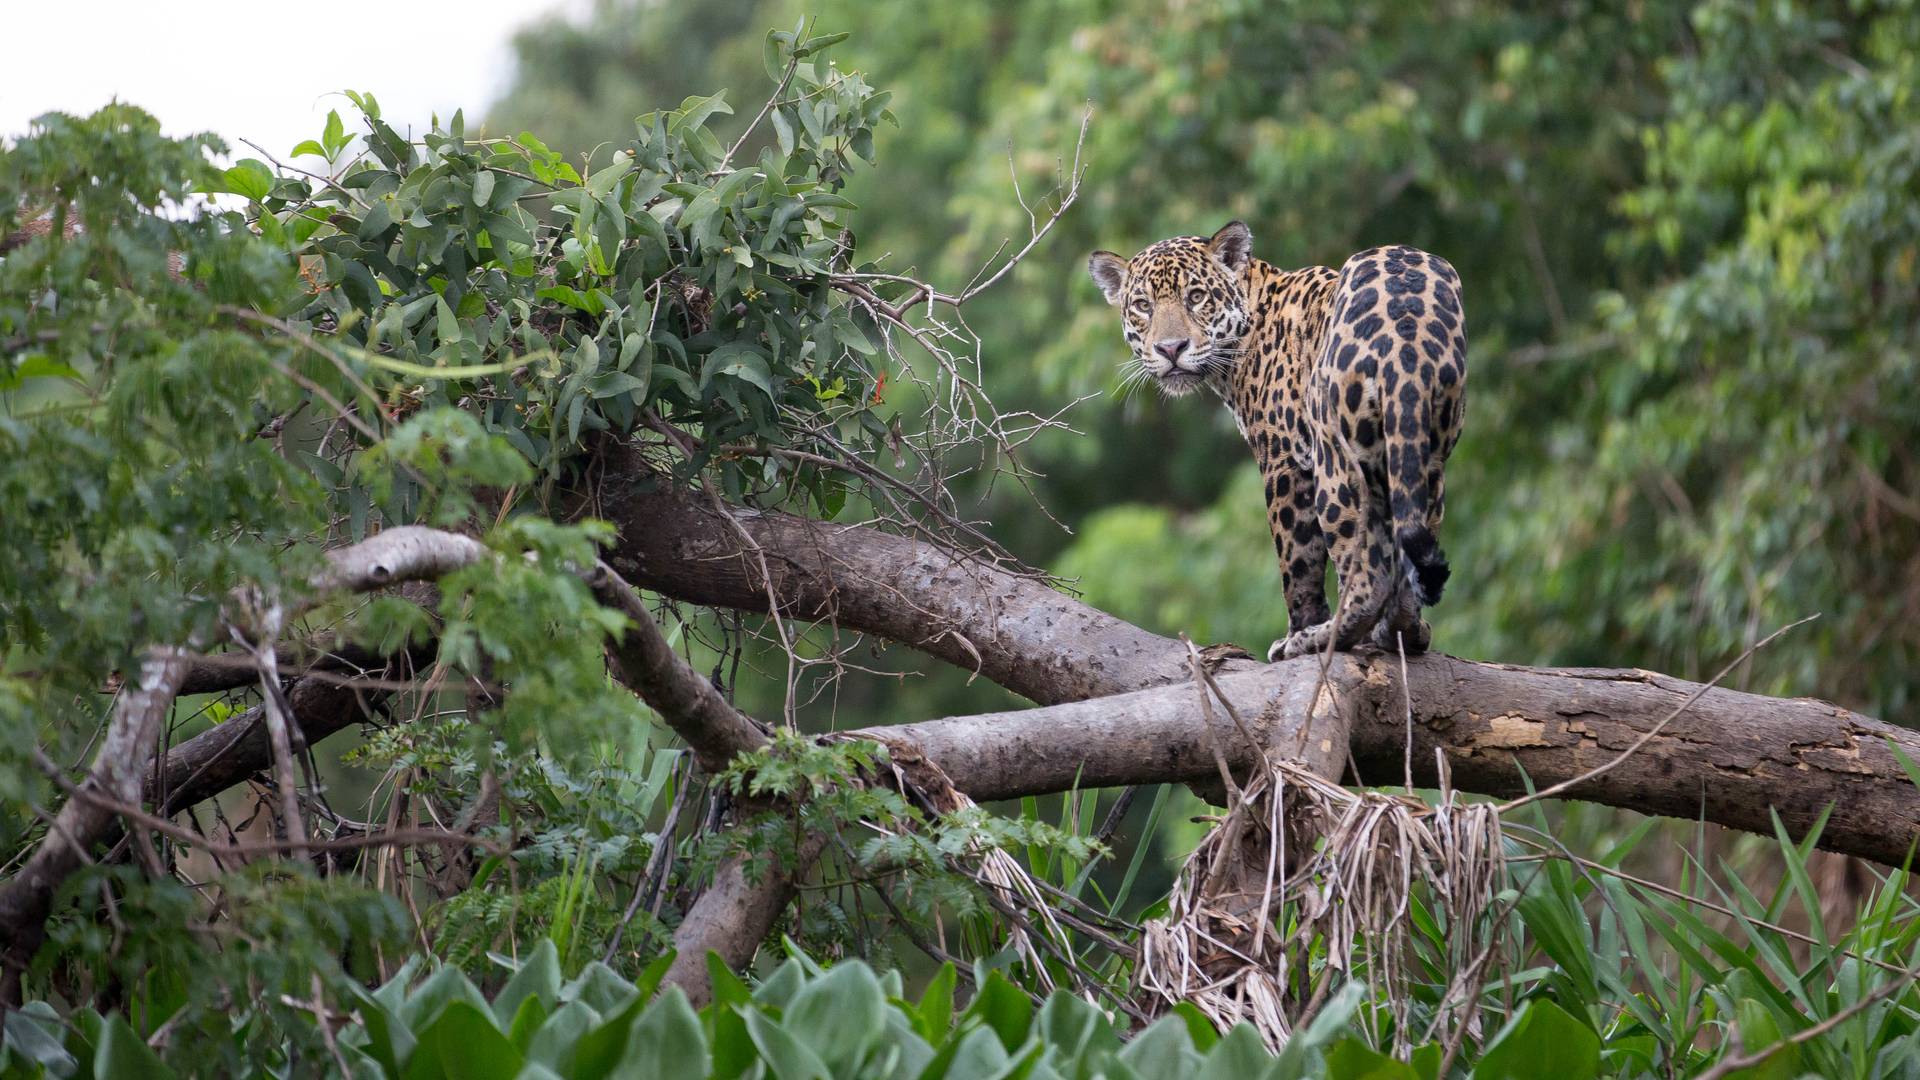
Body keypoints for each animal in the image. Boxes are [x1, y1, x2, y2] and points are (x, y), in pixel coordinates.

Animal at [1088, 221, 1467, 662]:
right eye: (1143, 305)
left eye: (1195, 297)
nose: (1170, 348)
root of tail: (1407, 329)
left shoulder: (1284, 462)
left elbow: (1297, 563)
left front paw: (1297, 631)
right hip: (1424, 455)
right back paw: (1402, 630)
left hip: (1335, 460)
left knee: (1367, 575)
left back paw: (1320, 638)